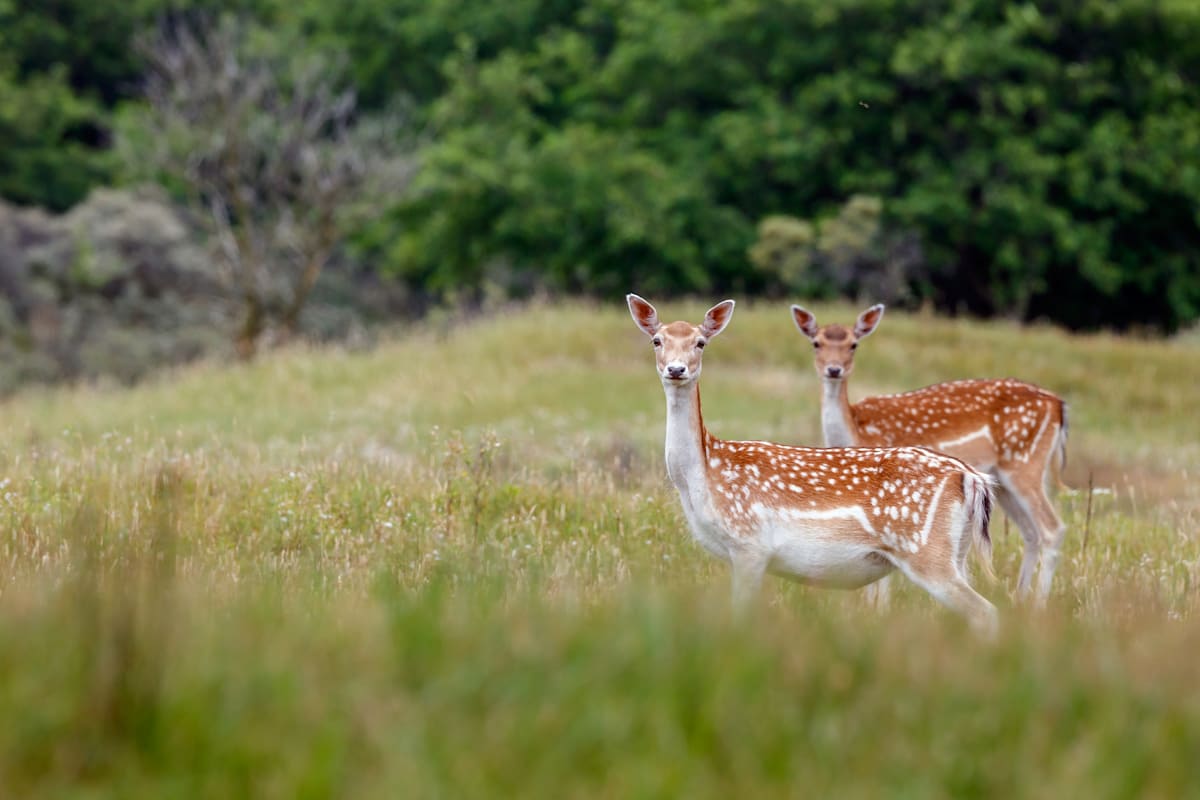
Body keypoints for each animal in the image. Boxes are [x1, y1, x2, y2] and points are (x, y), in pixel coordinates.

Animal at [627, 294, 998, 633]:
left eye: (700, 342)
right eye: (657, 340)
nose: (676, 369)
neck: (702, 478)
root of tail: (972, 478)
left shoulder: (750, 544)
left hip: (927, 551)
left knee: (987, 613)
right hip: (957, 552)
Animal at [789, 303, 1068, 603]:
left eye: (854, 344)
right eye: (816, 343)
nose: (834, 369)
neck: (855, 431)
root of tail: (1058, 405)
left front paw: (879, 608)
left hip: (1025, 464)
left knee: (1052, 528)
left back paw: (1038, 604)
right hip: (1001, 482)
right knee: (1031, 532)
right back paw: (1020, 600)